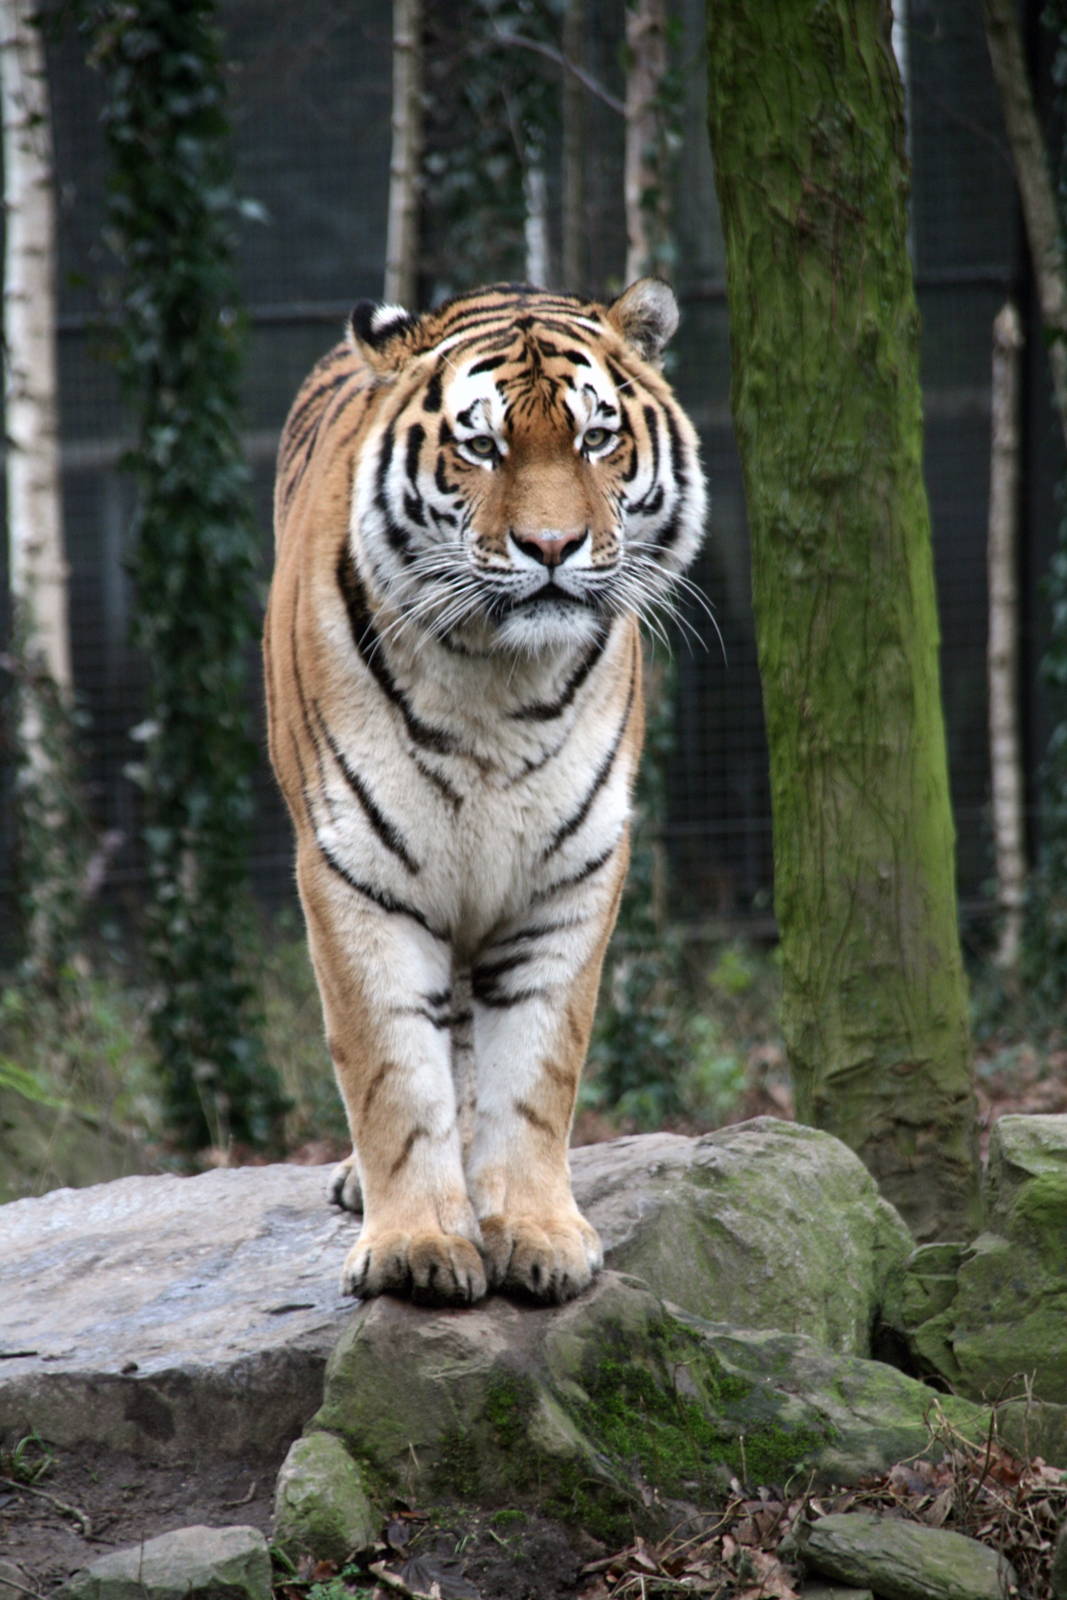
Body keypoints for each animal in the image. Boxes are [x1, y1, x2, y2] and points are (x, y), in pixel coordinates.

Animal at [264, 278, 707, 1307]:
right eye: (481, 447)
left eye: (595, 438)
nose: (550, 544)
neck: (493, 680)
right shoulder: (356, 869)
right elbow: (391, 1068)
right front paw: (418, 1248)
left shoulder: (570, 872)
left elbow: (535, 1069)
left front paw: (537, 1236)